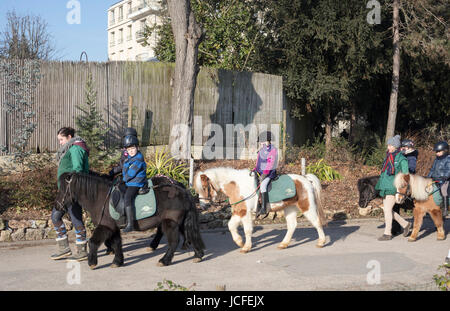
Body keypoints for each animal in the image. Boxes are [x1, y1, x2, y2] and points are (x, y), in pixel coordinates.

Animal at [56, 172, 206, 270]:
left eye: (63, 189)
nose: (57, 206)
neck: (101, 198)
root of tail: (182, 190)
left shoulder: (105, 226)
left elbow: (93, 242)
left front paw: (92, 263)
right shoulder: (114, 228)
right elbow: (117, 244)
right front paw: (118, 261)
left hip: (170, 223)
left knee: (173, 242)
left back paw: (164, 260)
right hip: (180, 222)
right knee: (189, 234)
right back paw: (198, 255)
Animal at [193, 168, 326, 254]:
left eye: (204, 187)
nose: (203, 206)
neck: (237, 185)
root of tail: (305, 179)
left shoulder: (245, 212)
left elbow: (247, 230)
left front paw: (246, 247)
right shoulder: (239, 211)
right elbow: (231, 226)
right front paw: (239, 242)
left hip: (306, 206)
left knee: (316, 222)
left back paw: (321, 242)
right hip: (290, 208)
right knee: (292, 225)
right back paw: (283, 244)